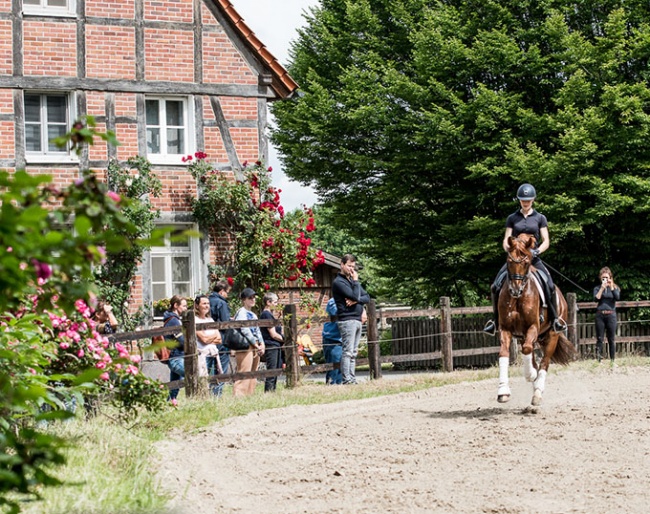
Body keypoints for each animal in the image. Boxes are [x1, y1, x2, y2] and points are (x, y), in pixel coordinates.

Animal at [496, 232, 572, 404]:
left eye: (526, 262)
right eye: (509, 261)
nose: (515, 290)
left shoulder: (533, 327)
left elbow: (527, 350)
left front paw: (531, 375)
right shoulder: (506, 328)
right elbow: (504, 353)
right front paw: (503, 391)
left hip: (552, 335)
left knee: (544, 362)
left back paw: (537, 392)